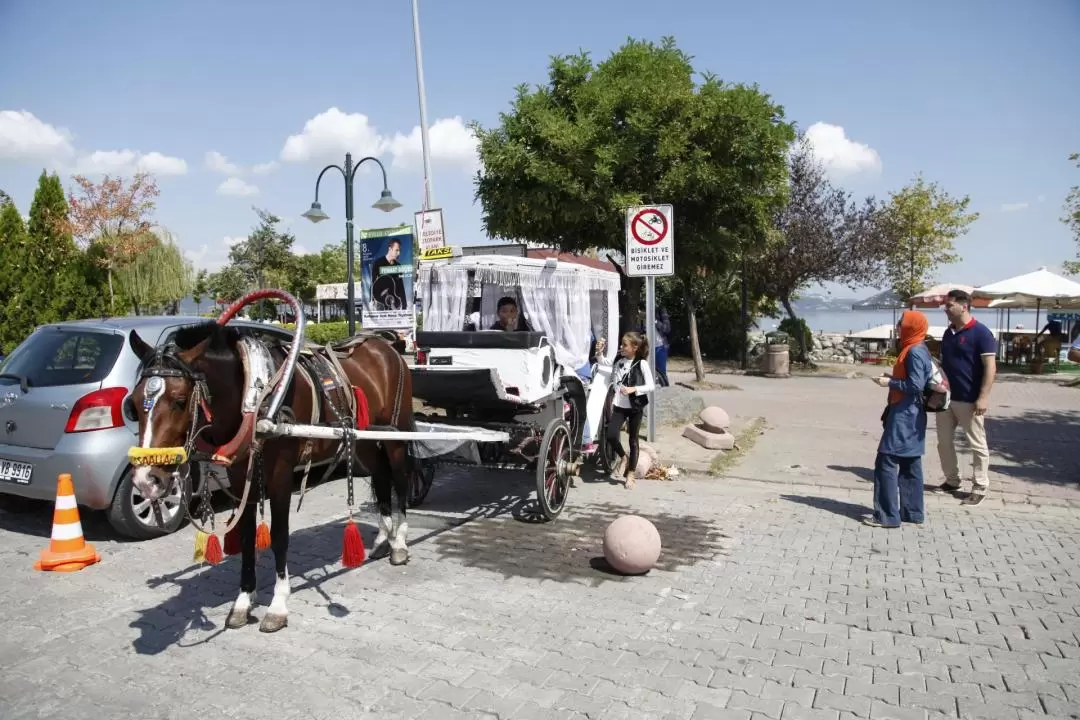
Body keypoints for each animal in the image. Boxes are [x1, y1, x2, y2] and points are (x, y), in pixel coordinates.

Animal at [125, 321, 412, 630]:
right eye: (133, 405)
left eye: (179, 401)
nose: (146, 480)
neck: (256, 397)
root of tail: (385, 345)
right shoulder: (242, 479)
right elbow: (247, 538)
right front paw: (243, 601)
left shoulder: (281, 477)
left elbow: (279, 536)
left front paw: (277, 605)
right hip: (365, 441)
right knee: (380, 475)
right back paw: (383, 539)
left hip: (396, 436)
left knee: (400, 480)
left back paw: (399, 543)